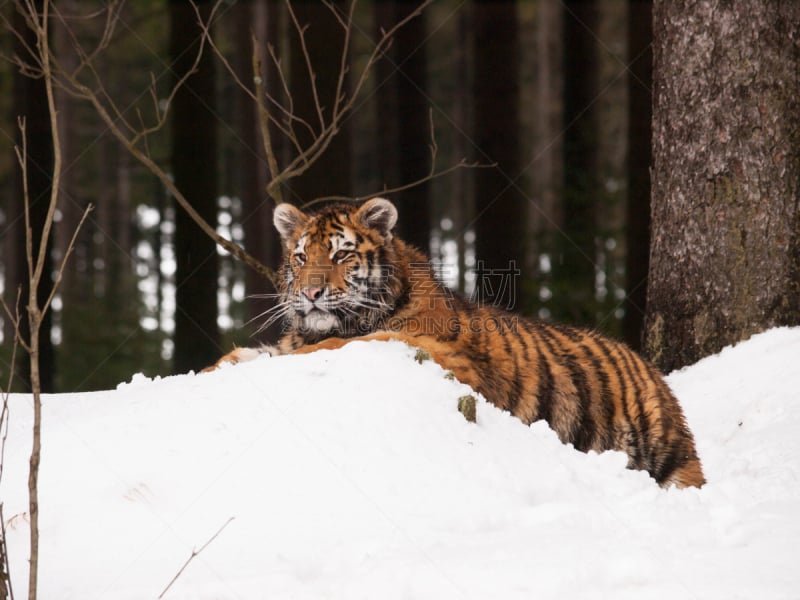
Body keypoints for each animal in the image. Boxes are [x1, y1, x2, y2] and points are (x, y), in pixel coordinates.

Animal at [211, 197, 708, 488]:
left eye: (341, 254)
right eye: (300, 257)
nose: (311, 293)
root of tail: (655, 372)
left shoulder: (444, 354)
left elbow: (346, 346)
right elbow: (239, 356)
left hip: (670, 454)